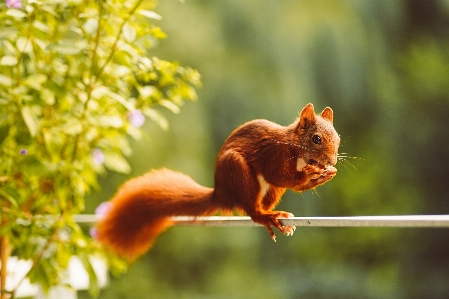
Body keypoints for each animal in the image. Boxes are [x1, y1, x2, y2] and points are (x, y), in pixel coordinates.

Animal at [96, 102, 338, 260]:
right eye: (316, 139)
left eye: (337, 138)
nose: (332, 160)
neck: (297, 150)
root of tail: (222, 193)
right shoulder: (275, 155)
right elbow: (279, 175)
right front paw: (312, 174)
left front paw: (324, 174)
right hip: (237, 171)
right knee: (252, 210)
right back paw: (266, 216)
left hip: (271, 191)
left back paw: (274, 215)